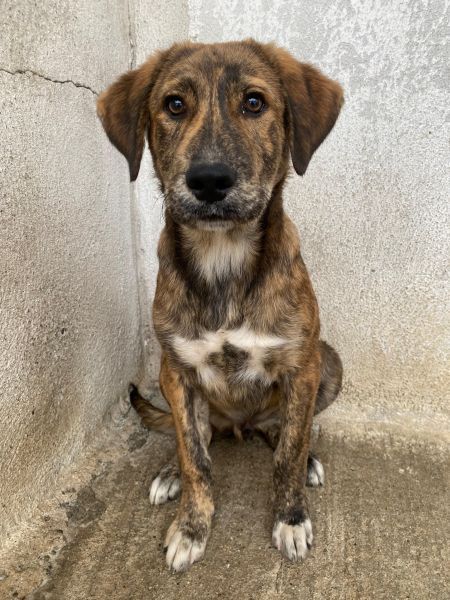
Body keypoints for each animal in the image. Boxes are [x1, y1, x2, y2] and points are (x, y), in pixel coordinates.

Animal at [97, 39, 343, 572]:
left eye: (254, 102)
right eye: (173, 105)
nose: (209, 181)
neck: (222, 257)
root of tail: (240, 424)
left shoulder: (303, 365)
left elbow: (289, 451)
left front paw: (290, 518)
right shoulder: (177, 371)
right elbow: (195, 456)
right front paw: (192, 526)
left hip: (329, 363)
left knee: (285, 430)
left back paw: (302, 454)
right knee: (197, 437)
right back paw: (171, 470)